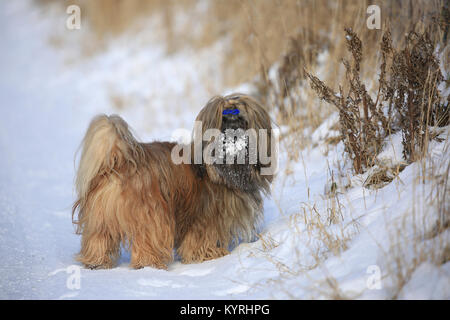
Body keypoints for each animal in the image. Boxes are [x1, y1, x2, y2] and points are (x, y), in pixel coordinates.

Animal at [71, 93, 274, 270]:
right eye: (223, 122)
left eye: (241, 120)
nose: (232, 135)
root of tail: (121, 161)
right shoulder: (204, 218)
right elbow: (201, 239)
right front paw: (209, 255)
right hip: (151, 214)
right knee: (148, 241)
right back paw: (149, 265)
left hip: (100, 219)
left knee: (98, 240)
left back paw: (96, 263)